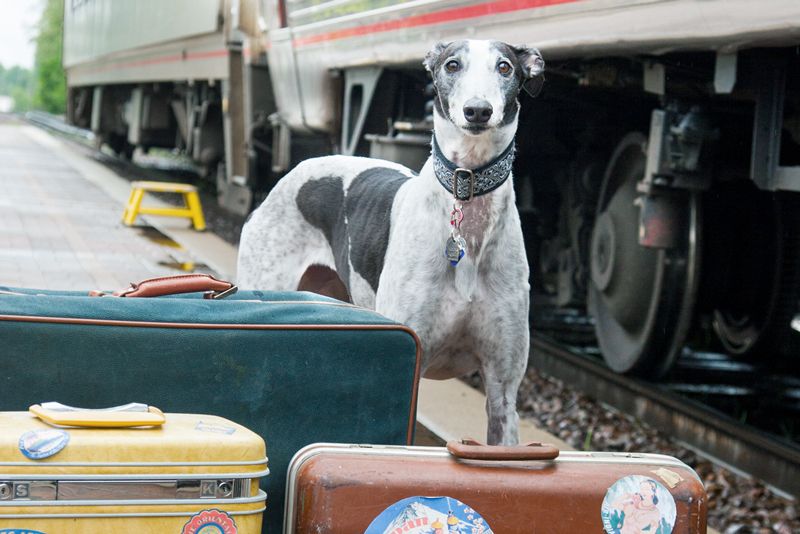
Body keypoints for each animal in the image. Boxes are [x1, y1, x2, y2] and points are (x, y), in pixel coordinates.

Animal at [236, 39, 544, 446]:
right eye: (452, 64)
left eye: (505, 67)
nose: (477, 110)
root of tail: (293, 171)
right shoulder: (411, 363)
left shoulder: (503, 389)